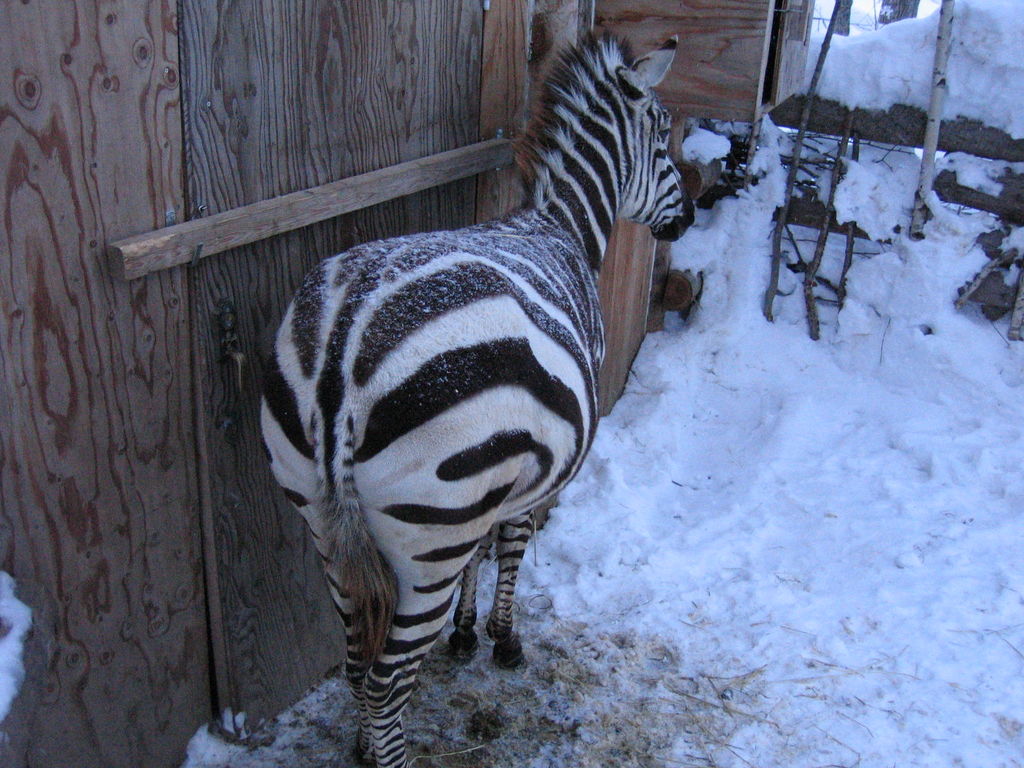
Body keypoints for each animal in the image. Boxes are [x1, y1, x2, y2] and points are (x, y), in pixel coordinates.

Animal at [260, 33, 692, 768]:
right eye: (663, 136)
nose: (688, 218)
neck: (561, 226)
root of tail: (343, 345)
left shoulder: (506, 466)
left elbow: (485, 550)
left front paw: (466, 633)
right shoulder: (545, 467)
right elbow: (511, 544)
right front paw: (503, 638)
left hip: (322, 523)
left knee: (356, 664)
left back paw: (363, 746)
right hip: (429, 539)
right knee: (386, 682)